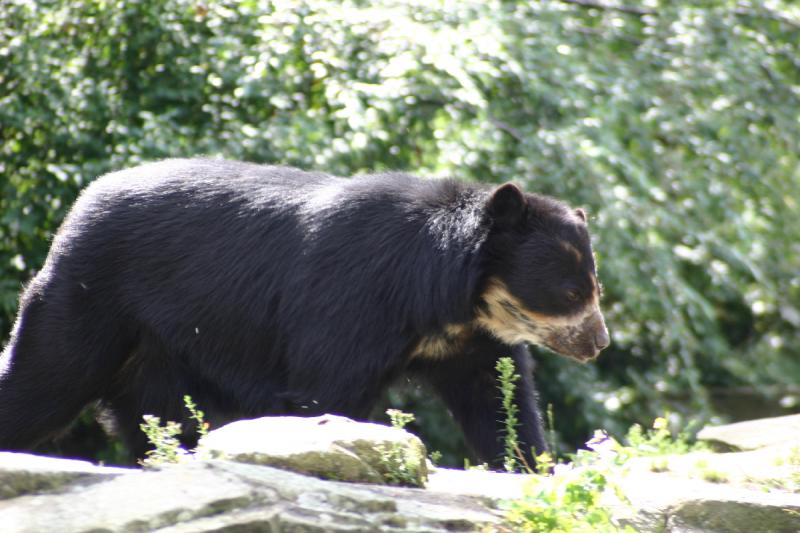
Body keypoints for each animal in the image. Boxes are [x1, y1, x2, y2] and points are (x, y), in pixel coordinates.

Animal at [0, 158, 608, 466]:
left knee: (166, 422)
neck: (448, 300)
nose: (598, 343)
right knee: (43, 380)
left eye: (593, 286)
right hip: (92, 300)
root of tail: (79, 206)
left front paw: (529, 463)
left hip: (157, 353)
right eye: (570, 293)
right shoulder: (349, 302)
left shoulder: (471, 342)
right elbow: (323, 391)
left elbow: (500, 404)